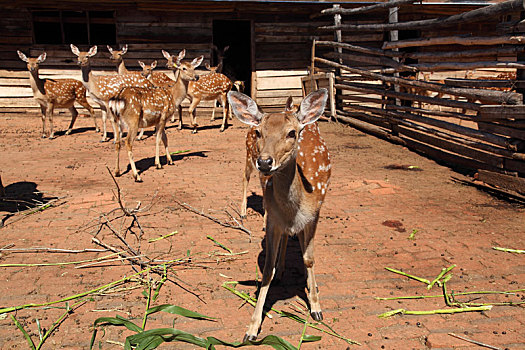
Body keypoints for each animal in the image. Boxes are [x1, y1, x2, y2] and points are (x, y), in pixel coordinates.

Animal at [227, 88, 330, 342]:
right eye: (259, 132)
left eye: (292, 133)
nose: (264, 162)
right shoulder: (273, 219)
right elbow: (267, 270)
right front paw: (252, 329)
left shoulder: (314, 215)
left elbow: (309, 258)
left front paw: (316, 308)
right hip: (250, 165)